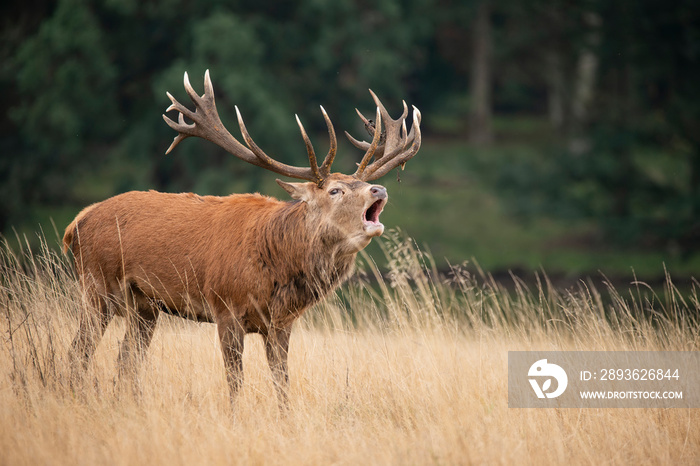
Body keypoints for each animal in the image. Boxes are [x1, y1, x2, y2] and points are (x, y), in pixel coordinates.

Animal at [64, 71, 422, 406]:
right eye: (335, 190)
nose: (379, 189)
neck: (275, 266)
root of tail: (77, 223)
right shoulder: (225, 308)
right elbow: (235, 383)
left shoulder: (281, 324)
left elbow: (282, 383)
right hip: (96, 287)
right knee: (78, 353)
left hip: (144, 307)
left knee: (126, 360)